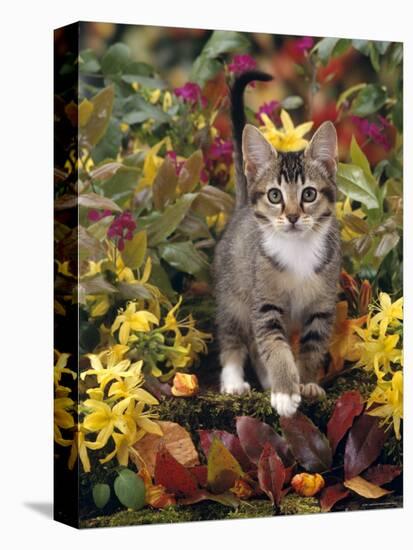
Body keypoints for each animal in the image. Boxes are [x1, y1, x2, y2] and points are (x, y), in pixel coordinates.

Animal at [211, 72, 340, 418]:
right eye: (274, 195)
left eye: (309, 194)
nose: (293, 216)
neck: (297, 250)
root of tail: (241, 207)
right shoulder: (264, 303)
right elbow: (275, 345)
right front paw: (284, 391)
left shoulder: (322, 307)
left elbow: (311, 347)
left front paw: (305, 383)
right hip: (233, 294)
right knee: (233, 338)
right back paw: (233, 381)